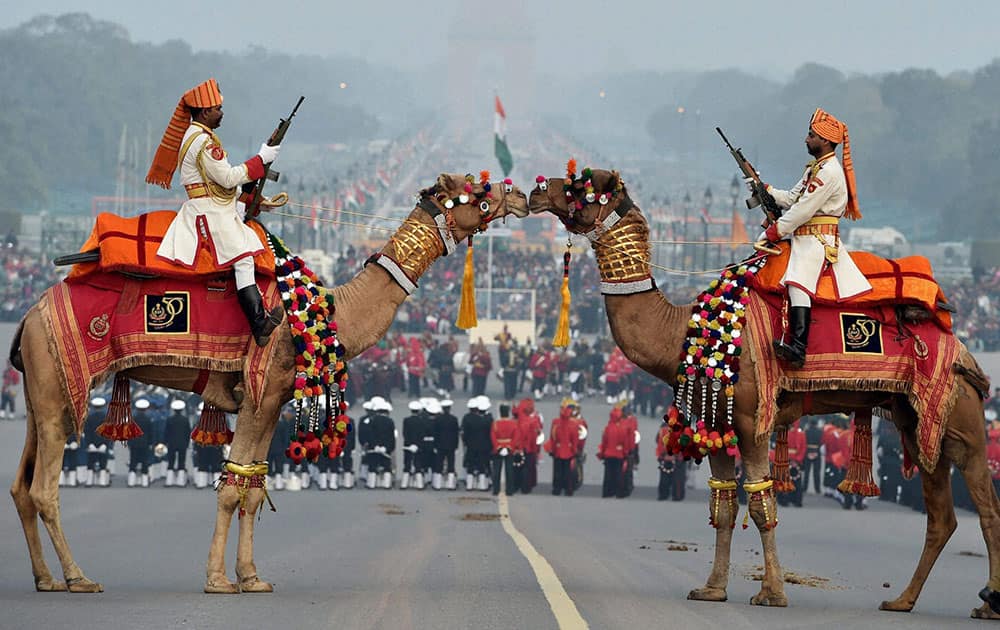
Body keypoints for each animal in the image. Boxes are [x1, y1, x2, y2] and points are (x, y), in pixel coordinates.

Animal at [7, 174, 532, 596]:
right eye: (478, 189)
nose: (520, 196)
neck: (327, 311)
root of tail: (31, 316)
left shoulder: (273, 400)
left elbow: (253, 484)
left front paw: (252, 577)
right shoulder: (259, 393)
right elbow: (230, 485)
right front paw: (218, 580)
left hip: (38, 390)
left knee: (21, 485)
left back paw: (45, 578)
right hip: (58, 384)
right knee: (45, 487)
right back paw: (78, 577)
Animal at [528, 168, 996, 624]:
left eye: (580, 184)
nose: (536, 191)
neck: (683, 332)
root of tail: (963, 350)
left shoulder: (753, 419)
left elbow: (760, 500)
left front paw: (772, 593)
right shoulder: (716, 421)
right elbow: (723, 502)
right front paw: (712, 588)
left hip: (961, 420)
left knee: (986, 505)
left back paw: (987, 600)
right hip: (917, 423)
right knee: (941, 514)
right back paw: (902, 600)